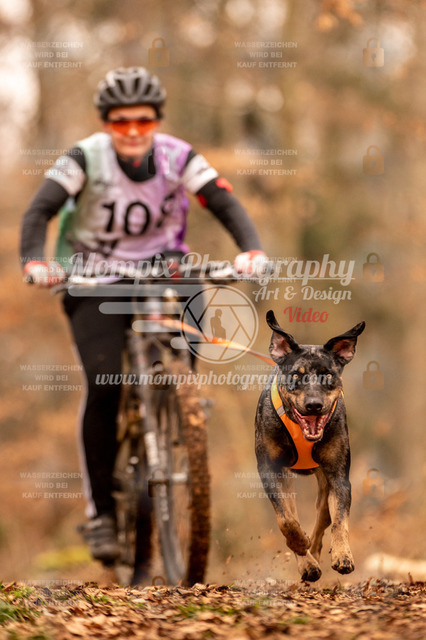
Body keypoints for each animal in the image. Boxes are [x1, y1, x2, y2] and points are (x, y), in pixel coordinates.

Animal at [255, 310, 365, 581]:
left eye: (328, 375)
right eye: (296, 375)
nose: (314, 405)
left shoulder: (339, 476)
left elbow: (339, 520)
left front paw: (342, 555)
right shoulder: (269, 470)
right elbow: (286, 519)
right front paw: (299, 544)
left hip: (324, 484)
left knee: (323, 518)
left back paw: (314, 553)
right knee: (292, 513)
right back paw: (307, 561)